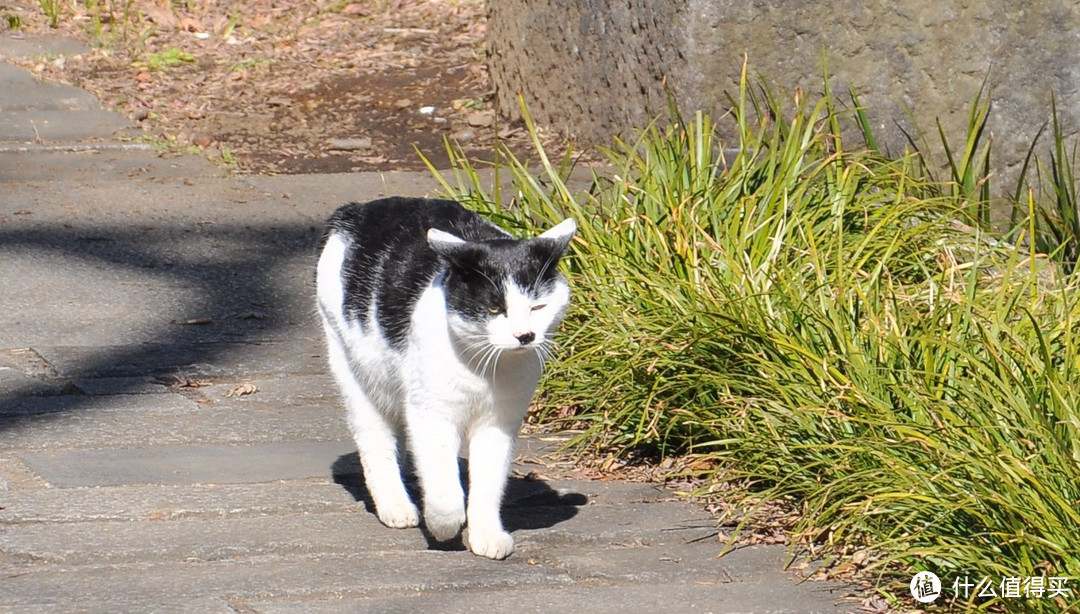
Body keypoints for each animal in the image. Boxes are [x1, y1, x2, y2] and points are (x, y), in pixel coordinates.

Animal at [315, 194, 578, 556]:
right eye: (494, 308)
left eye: (538, 307)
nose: (525, 335)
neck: (487, 368)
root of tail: (356, 208)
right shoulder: (431, 415)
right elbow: (444, 489)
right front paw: (443, 525)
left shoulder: (498, 423)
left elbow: (488, 482)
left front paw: (486, 535)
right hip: (354, 370)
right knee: (375, 440)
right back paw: (397, 506)